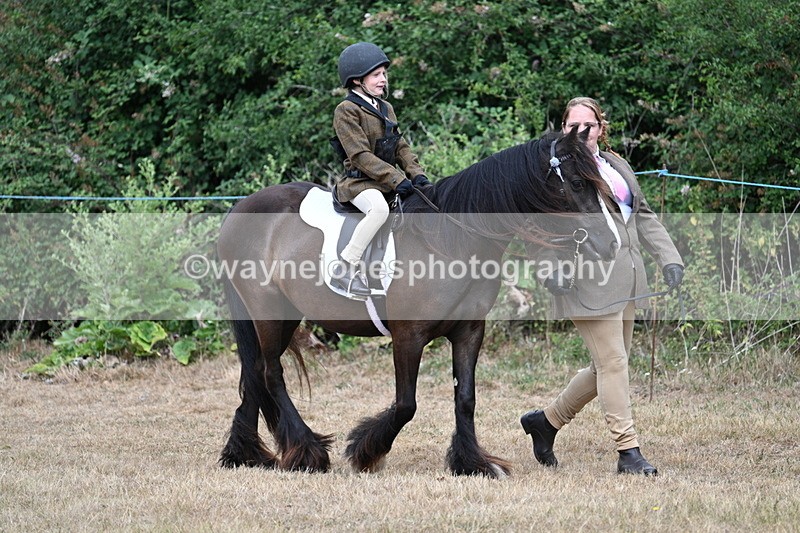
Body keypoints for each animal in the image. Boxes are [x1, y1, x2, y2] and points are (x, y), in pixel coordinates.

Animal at [217, 126, 619, 478]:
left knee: (255, 372)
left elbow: (465, 398)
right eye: (579, 183)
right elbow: (406, 404)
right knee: (271, 375)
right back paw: (308, 451)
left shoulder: (468, 332)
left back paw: (246, 454)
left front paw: (473, 463)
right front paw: (366, 451)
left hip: (283, 317)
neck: (450, 239)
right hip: (268, 314)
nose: (612, 244)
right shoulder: (408, 336)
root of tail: (239, 210)